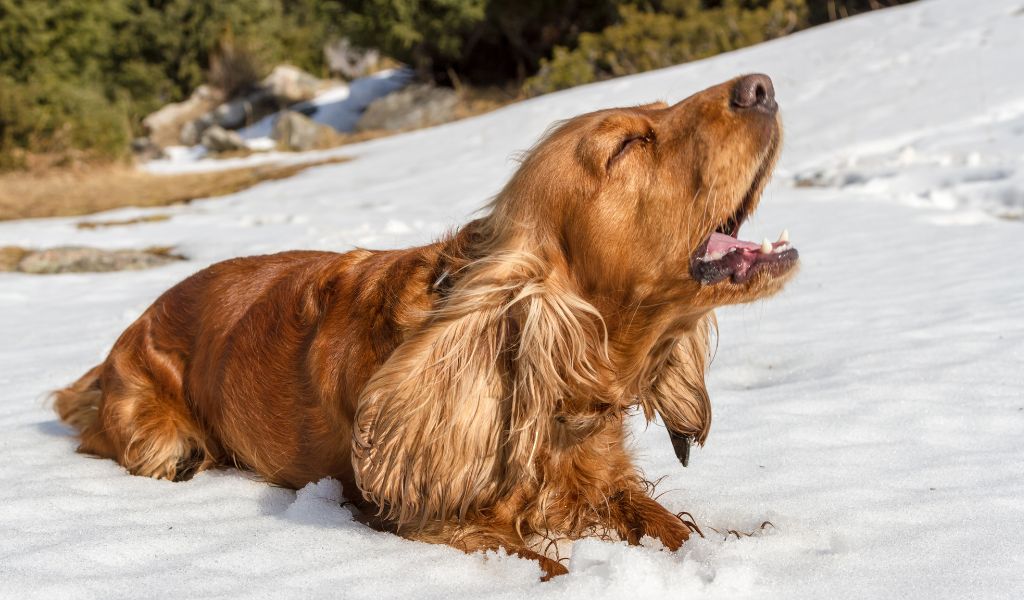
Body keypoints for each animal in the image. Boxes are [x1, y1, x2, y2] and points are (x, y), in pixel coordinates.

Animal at [51, 72, 794, 577]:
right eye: (630, 145)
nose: (762, 86)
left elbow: (674, 527)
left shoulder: (608, 480)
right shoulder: (433, 520)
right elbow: (545, 564)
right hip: (153, 431)